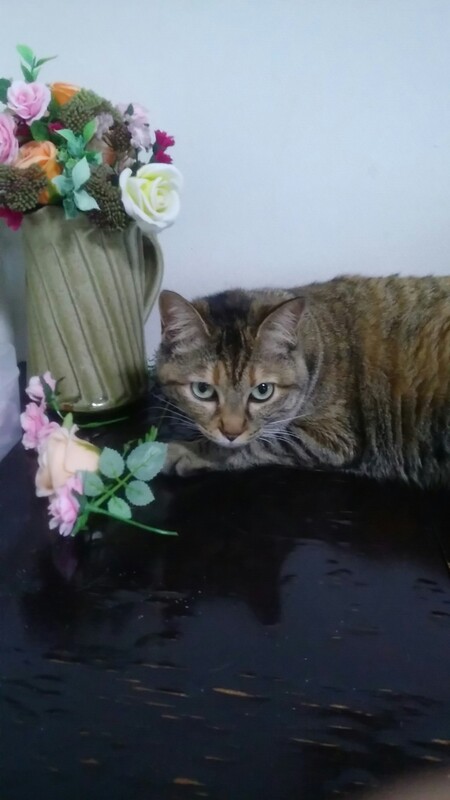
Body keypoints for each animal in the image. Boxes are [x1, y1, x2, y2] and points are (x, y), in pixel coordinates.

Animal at [155, 275, 450, 486]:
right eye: (203, 390)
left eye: (262, 391)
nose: (231, 432)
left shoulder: (333, 438)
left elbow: (258, 444)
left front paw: (182, 452)